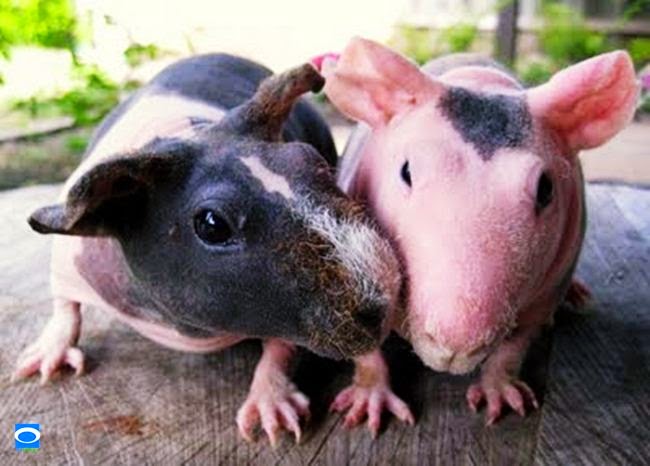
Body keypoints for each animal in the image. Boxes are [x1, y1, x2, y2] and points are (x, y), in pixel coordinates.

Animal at [12, 53, 407, 445]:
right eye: (212, 224)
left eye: (311, 160)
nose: (386, 300)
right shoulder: (68, 258)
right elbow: (65, 304)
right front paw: (40, 361)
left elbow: (279, 348)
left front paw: (271, 410)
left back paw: (370, 396)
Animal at [315, 38, 638, 426]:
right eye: (406, 172)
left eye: (546, 189)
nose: (454, 345)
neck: (480, 84)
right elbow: (359, 333)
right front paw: (370, 395)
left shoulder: (553, 277)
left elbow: (518, 340)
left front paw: (499, 388)